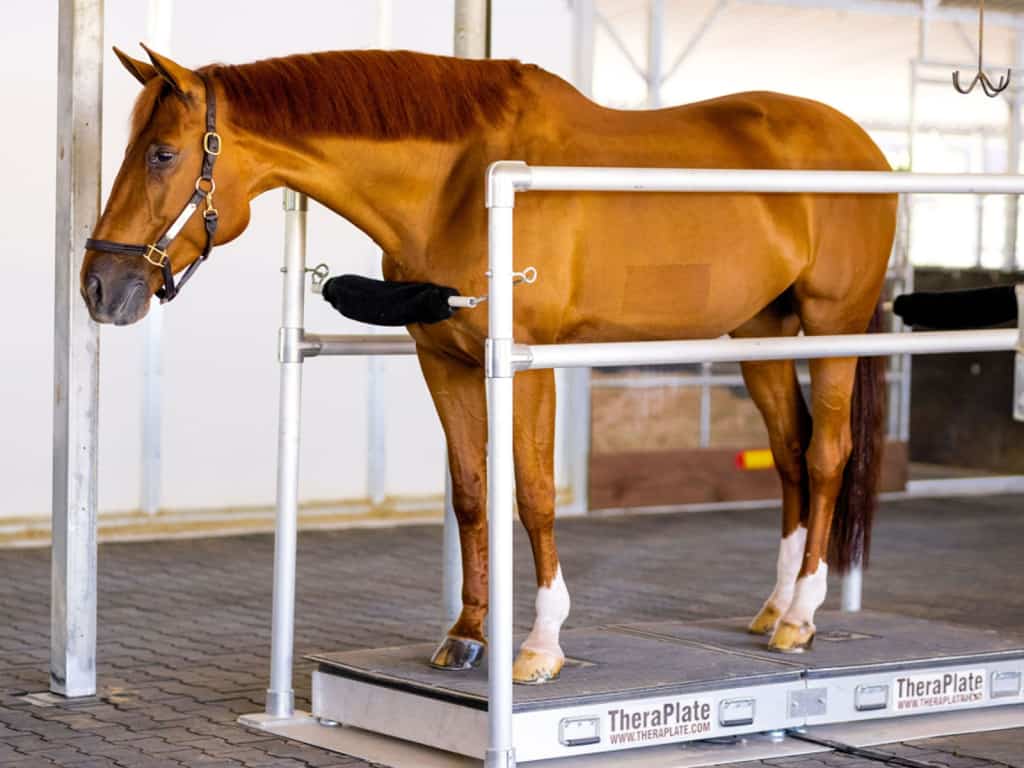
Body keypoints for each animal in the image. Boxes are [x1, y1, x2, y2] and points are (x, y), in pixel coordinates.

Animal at [81, 46, 895, 684]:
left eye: (162, 154)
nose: (97, 287)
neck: (461, 182)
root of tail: (866, 148)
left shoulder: (529, 368)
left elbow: (532, 495)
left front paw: (539, 644)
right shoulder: (442, 360)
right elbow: (472, 492)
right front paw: (467, 634)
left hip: (834, 330)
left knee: (825, 457)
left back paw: (801, 618)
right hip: (765, 334)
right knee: (788, 455)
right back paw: (773, 606)